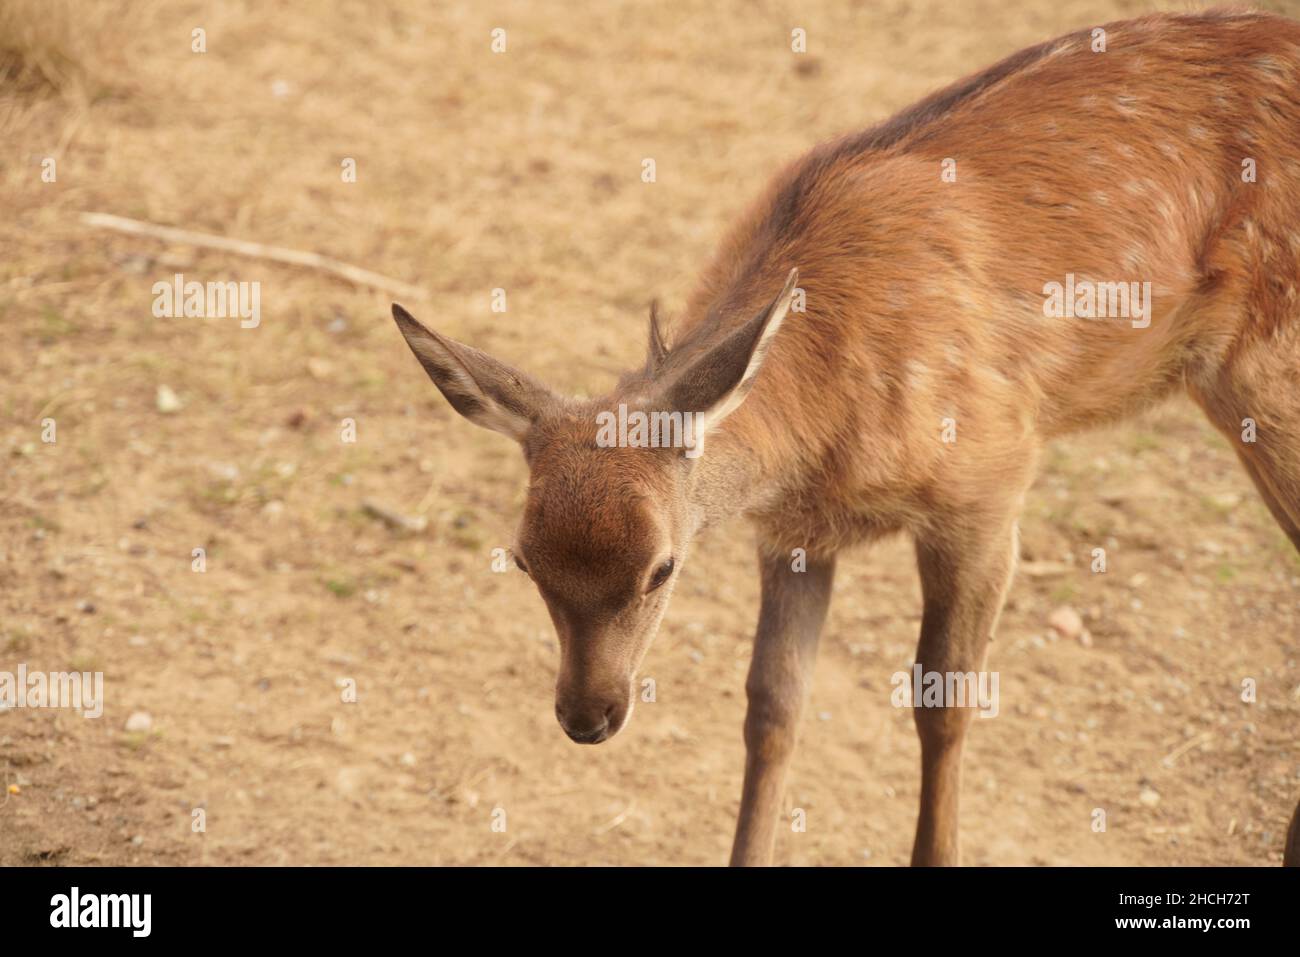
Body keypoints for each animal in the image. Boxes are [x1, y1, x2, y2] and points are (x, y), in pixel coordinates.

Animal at [390, 11, 1300, 868]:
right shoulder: (793, 534)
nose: (588, 715)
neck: (826, 434)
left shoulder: (989, 481)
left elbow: (944, 701)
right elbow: (772, 706)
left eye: (663, 568)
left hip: (1262, 371)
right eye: (523, 560)